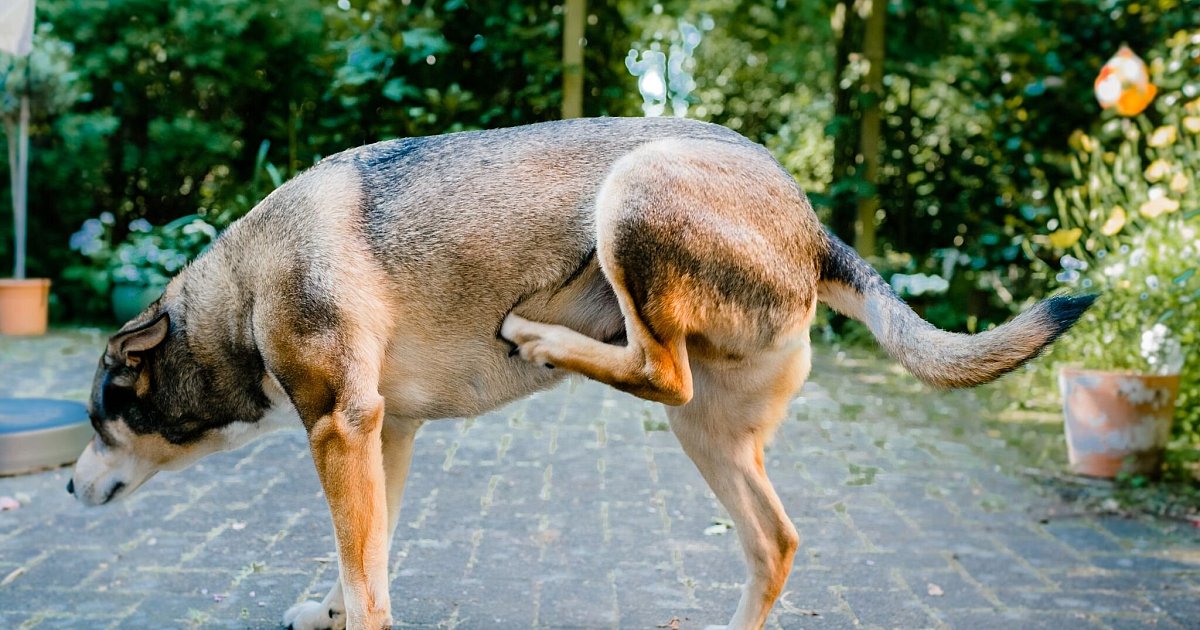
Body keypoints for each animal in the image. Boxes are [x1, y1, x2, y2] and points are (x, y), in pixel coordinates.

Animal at [68, 117, 1093, 629]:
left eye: (100, 417)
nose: (69, 489)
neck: (243, 291)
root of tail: (811, 224)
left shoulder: (342, 429)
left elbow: (368, 580)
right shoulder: (381, 437)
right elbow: (368, 556)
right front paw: (329, 602)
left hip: (632, 202)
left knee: (658, 368)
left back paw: (542, 333)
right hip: (712, 438)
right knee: (774, 540)